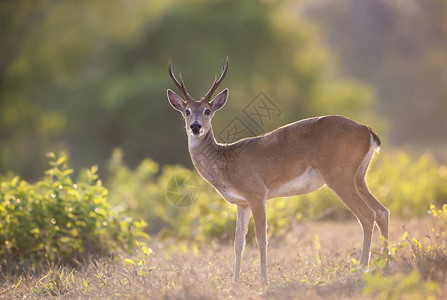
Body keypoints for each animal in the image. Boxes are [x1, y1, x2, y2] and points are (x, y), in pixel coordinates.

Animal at [166, 57, 390, 282]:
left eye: (207, 110)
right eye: (186, 111)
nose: (195, 127)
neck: (225, 159)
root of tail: (367, 130)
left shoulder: (257, 195)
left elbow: (261, 239)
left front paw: (264, 281)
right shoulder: (242, 204)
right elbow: (238, 244)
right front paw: (235, 282)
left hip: (339, 179)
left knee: (367, 216)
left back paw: (362, 270)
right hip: (359, 178)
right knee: (382, 211)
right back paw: (387, 265)